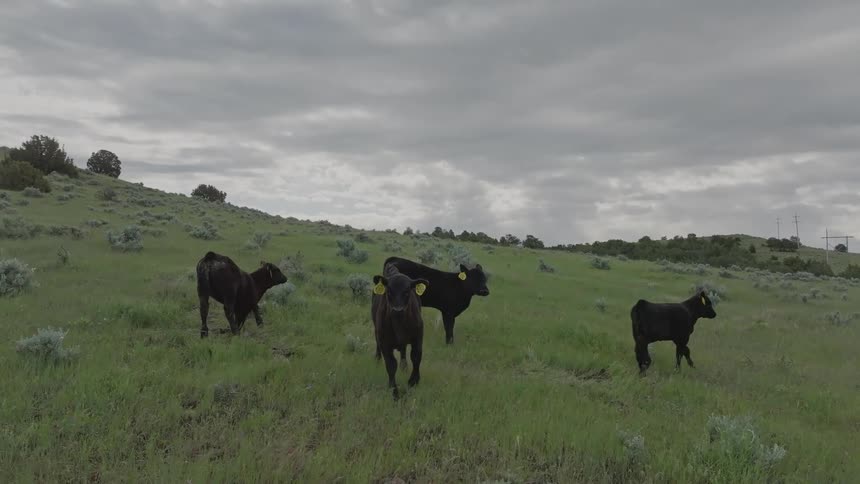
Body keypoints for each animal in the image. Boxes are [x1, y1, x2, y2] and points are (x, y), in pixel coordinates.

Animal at [371, 270, 429, 399]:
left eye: (407, 291)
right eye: (389, 291)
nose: (398, 310)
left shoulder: (418, 337)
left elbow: (416, 357)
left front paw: (413, 381)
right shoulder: (384, 343)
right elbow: (391, 365)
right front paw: (394, 391)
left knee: (403, 351)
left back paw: (404, 366)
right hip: (376, 329)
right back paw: (377, 360)